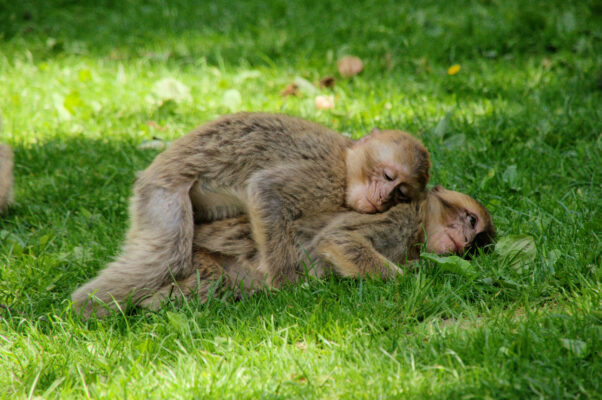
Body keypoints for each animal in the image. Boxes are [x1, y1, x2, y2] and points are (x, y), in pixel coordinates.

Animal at [74, 187, 492, 316]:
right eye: (469, 220)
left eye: (475, 244)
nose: (464, 240)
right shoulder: (399, 217)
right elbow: (338, 240)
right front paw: (414, 283)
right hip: (194, 258)